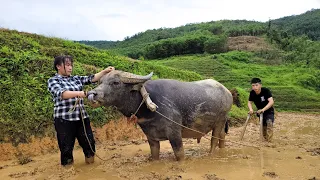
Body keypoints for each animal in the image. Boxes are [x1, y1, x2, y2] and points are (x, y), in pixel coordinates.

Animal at [88, 70, 232, 160]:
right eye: (100, 82)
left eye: (115, 82)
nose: (92, 94)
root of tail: (228, 92)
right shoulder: (151, 137)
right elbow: (154, 154)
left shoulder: (175, 134)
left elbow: (180, 155)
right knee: (222, 137)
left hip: (220, 121)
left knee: (214, 140)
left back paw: (211, 154)